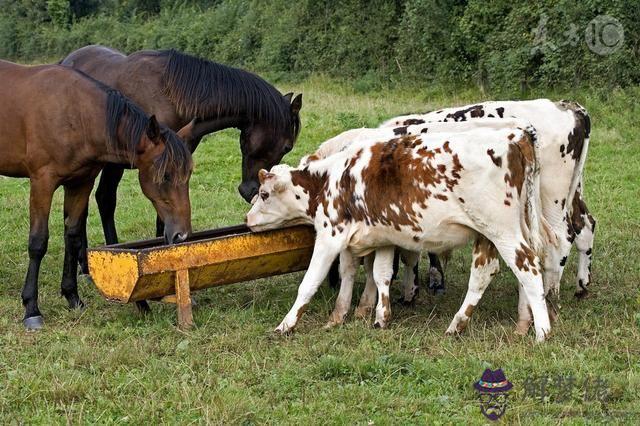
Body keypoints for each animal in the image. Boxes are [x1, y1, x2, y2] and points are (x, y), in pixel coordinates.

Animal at [0, 59, 192, 330]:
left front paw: (72, 296)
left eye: (189, 174)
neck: (76, 114)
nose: (181, 235)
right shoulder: (42, 183)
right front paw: (31, 309)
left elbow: (72, 236)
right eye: (165, 175)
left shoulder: (81, 183)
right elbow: (38, 243)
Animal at [245, 125, 556, 342]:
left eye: (264, 193)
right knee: (488, 273)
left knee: (527, 267)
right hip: (494, 233)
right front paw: (373, 317)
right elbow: (378, 274)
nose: (247, 219)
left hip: (503, 231)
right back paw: (475, 324)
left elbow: (309, 283)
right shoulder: (381, 235)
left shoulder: (330, 237)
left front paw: (286, 324)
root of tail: (514, 137)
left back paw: (542, 332)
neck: (330, 178)